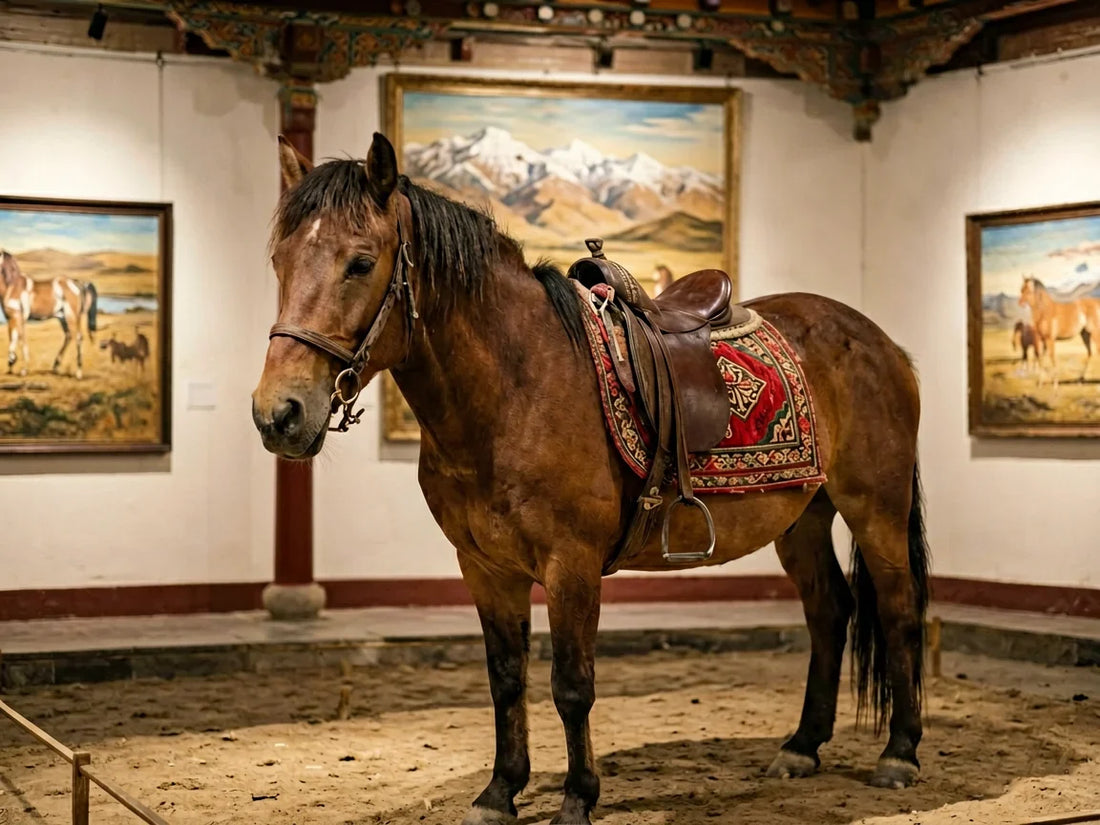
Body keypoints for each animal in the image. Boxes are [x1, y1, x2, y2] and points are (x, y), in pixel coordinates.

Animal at [0, 250, 99, 379]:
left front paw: (23, 369)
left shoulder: (17, 317)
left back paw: (78, 372)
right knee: (69, 336)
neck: (11, 286)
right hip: (62, 318)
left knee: (78, 337)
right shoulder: (11, 318)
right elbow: (13, 338)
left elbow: (21, 340)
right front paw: (11, 362)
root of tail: (76, 283)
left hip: (71, 317)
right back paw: (56, 367)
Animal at [252, 133, 929, 825]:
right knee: (830, 610)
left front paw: (578, 797)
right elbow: (506, 678)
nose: (279, 414)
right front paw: (500, 790)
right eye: (280, 261)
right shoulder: (485, 568)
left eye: (361, 263)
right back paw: (802, 745)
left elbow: (571, 685)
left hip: (875, 507)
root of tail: (880, 343)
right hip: (802, 517)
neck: (516, 387)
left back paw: (899, 753)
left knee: (899, 610)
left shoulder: (570, 565)